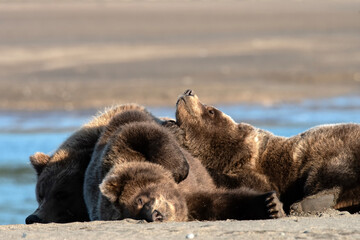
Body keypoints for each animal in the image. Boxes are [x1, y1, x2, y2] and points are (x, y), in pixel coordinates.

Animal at [84, 109, 284, 221]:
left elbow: (140, 130)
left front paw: (271, 205)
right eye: (135, 213)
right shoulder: (189, 203)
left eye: (139, 200)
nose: (154, 215)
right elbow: (219, 203)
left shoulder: (119, 144)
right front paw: (270, 205)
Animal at [176, 89, 360, 213]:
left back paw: (305, 204)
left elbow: (250, 183)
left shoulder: (260, 170)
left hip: (334, 150)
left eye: (211, 110)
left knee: (328, 174)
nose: (189, 92)